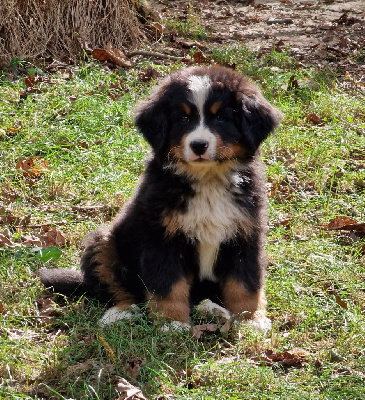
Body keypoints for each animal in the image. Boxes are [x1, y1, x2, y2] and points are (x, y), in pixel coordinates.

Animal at [42, 66, 282, 332]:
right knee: (116, 287)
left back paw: (213, 309)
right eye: (183, 119)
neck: (208, 180)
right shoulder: (161, 238)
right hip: (105, 243)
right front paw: (173, 323)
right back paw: (120, 313)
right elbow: (169, 285)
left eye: (221, 118)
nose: (199, 145)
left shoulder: (245, 233)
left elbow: (245, 284)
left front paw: (250, 319)